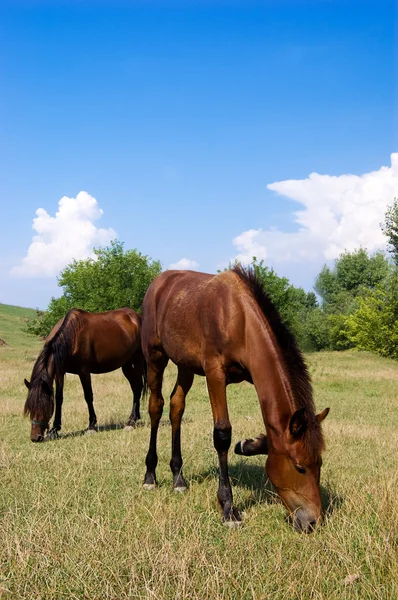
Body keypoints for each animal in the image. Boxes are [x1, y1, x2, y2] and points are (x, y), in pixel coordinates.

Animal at [23, 310, 145, 440]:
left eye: (44, 406)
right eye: (29, 408)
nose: (35, 438)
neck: (71, 336)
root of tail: (137, 317)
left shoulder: (84, 372)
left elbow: (88, 396)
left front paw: (91, 425)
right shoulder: (60, 372)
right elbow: (59, 398)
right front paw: (55, 429)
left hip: (138, 361)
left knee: (137, 388)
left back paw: (131, 421)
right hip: (126, 365)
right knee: (135, 387)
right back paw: (136, 417)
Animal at [140, 264, 330, 532]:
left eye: (319, 463)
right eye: (300, 467)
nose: (313, 521)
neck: (238, 318)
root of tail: (159, 282)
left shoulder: (253, 374)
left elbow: (270, 431)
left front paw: (249, 444)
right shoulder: (215, 374)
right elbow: (222, 434)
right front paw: (228, 508)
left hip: (185, 365)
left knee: (177, 406)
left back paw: (178, 478)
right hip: (155, 357)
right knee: (156, 406)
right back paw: (150, 475)